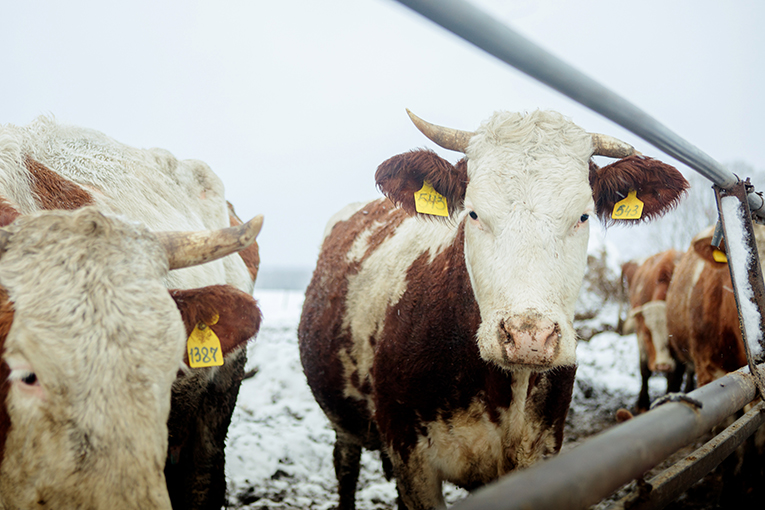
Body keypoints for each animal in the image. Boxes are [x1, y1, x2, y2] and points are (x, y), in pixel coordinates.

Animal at [620, 249, 688, 412]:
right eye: (646, 333)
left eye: (672, 336)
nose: (662, 365)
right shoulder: (640, 339)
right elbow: (644, 371)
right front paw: (642, 404)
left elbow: (675, 378)